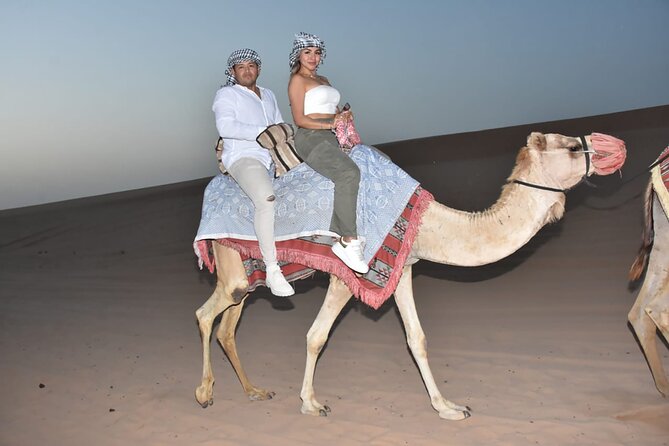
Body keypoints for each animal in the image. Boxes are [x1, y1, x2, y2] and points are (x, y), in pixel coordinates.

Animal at [195, 132, 625, 420]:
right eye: (572, 147)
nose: (614, 146)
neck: (427, 222)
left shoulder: (401, 268)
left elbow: (417, 339)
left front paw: (449, 407)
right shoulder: (347, 272)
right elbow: (316, 336)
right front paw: (311, 403)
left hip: (247, 275)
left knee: (227, 325)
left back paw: (254, 391)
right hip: (231, 267)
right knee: (205, 315)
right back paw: (204, 393)